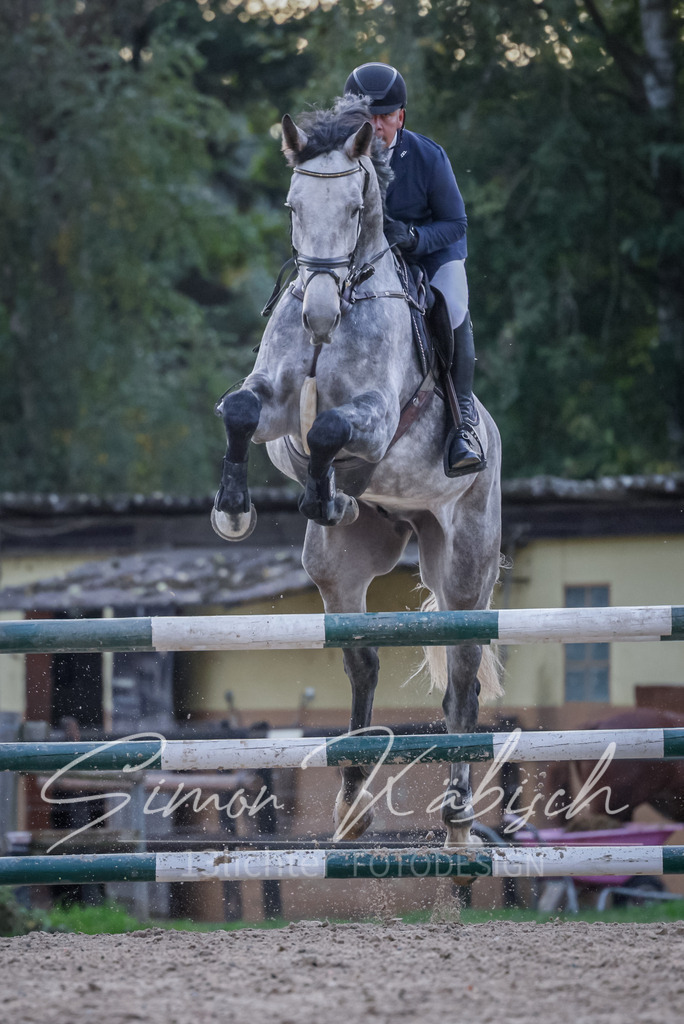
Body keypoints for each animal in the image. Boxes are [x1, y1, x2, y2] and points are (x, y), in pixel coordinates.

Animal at [211, 97, 503, 849]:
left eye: (352, 208)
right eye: (292, 205)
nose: (317, 312)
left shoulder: (372, 415)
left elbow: (329, 429)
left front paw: (325, 491)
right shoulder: (273, 400)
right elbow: (242, 410)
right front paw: (234, 508)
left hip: (463, 564)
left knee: (462, 678)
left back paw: (456, 818)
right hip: (341, 567)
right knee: (361, 660)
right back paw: (350, 803)